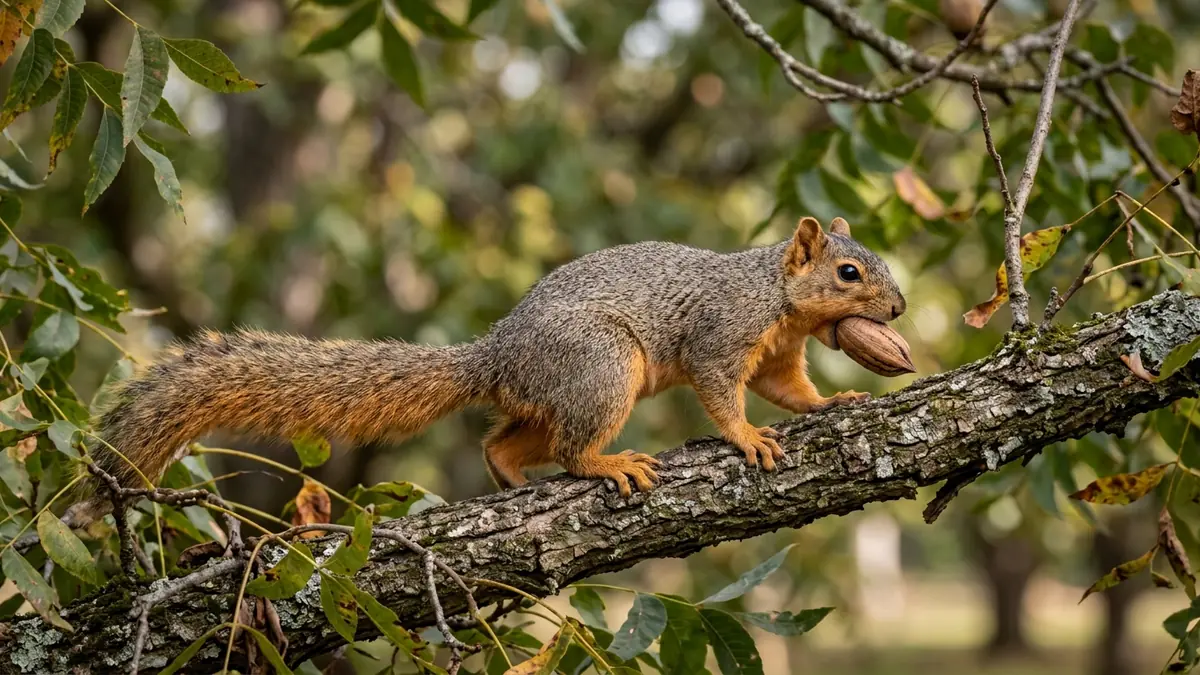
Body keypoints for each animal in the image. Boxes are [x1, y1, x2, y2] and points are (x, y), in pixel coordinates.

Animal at [74, 216, 904, 521]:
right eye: (850, 272)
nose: (897, 308)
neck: (775, 296)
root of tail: (498, 352)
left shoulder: (778, 355)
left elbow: (788, 388)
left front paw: (831, 402)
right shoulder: (720, 335)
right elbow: (724, 394)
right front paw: (748, 438)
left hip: (561, 391)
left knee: (506, 439)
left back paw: (511, 475)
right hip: (604, 368)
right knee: (571, 444)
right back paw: (609, 464)